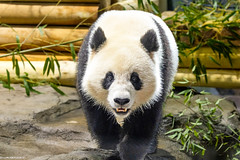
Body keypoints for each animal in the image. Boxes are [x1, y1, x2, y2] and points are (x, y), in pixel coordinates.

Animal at [76, 10, 178, 160]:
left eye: (135, 78)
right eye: (109, 77)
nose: (121, 100)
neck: (124, 31)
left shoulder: (161, 69)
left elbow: (145, 115)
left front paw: (130, 152)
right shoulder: (85, 64)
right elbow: (98, 111)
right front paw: (109, 147)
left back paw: (151, 147)